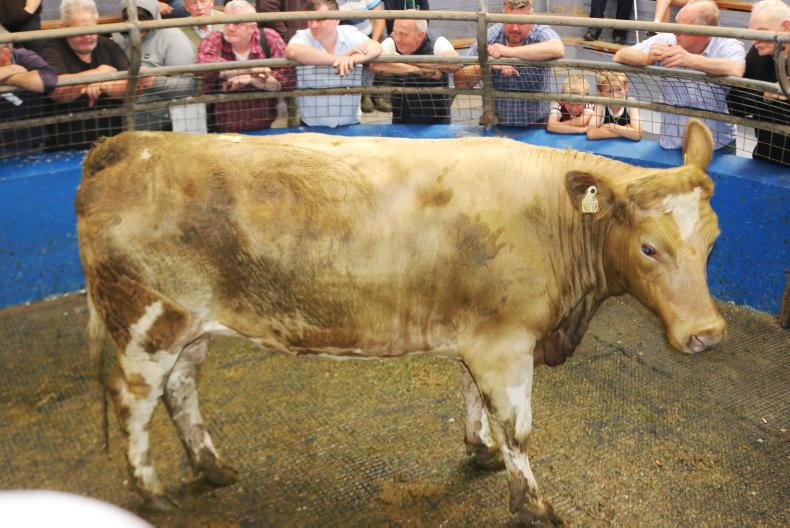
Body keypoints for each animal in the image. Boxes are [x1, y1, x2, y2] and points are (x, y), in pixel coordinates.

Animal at [76, 119, 725, 524]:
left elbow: (474, 399)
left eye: (714, 241)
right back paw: (152, 491)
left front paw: (480, 451)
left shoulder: (479, 334)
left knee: (181, 390)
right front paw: (533, 505)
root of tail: (123, 144)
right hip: (148, 322)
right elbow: (517, 428)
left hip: (190, 328)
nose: (707, 334)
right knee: (133, 400)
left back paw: (210, 468)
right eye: (648, 248)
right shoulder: (505, 344)